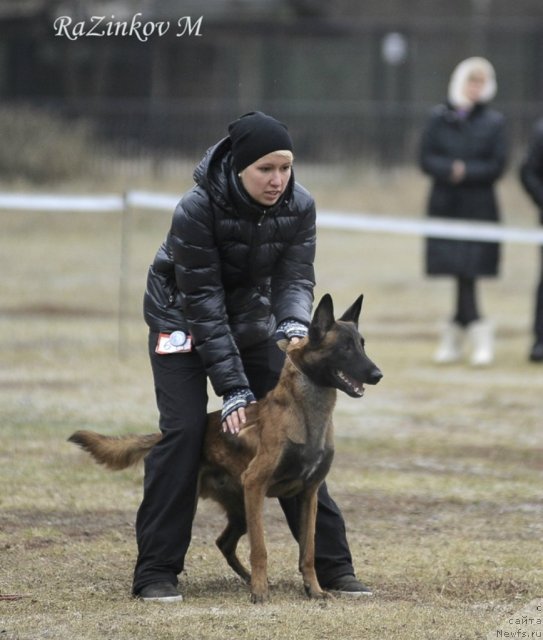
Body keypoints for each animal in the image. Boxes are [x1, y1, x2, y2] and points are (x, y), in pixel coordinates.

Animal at [69, 292, 382, 604]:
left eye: (362, 344)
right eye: (345, 348)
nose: (378, 374)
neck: (306, 415)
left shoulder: (308, 494)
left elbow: (308, 550)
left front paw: (313, 589)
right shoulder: (256, 485)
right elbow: (260, 548)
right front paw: (260, 592)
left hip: (241, 510)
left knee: (224, 542)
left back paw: (249, 577)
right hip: (217, 501)